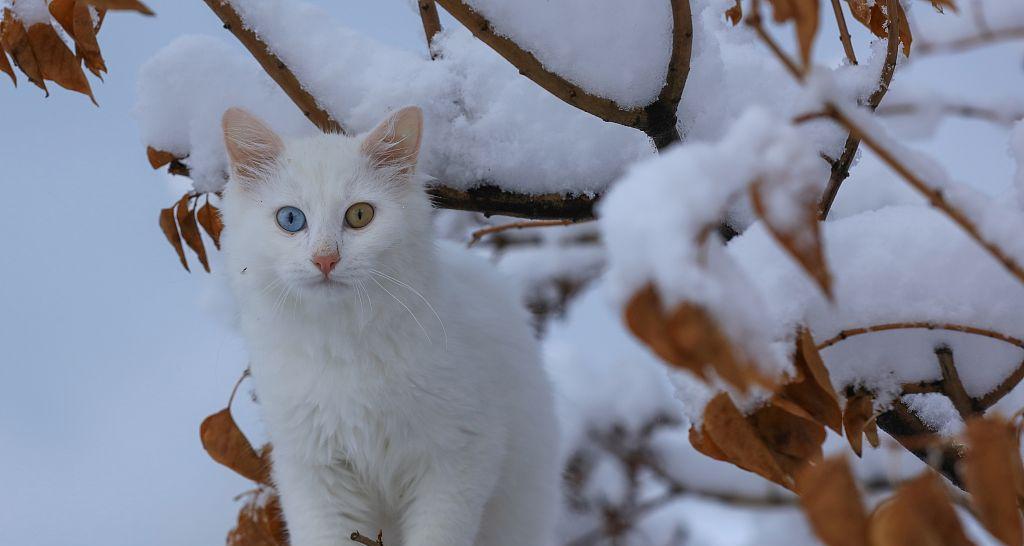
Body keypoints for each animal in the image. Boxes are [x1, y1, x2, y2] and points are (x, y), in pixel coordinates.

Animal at [219, 106, 565, 544]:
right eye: (291, 219)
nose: (325, 259)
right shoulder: (313, 472)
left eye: (359, 215)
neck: (343, 346)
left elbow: (437, 536)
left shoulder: (457, 458)